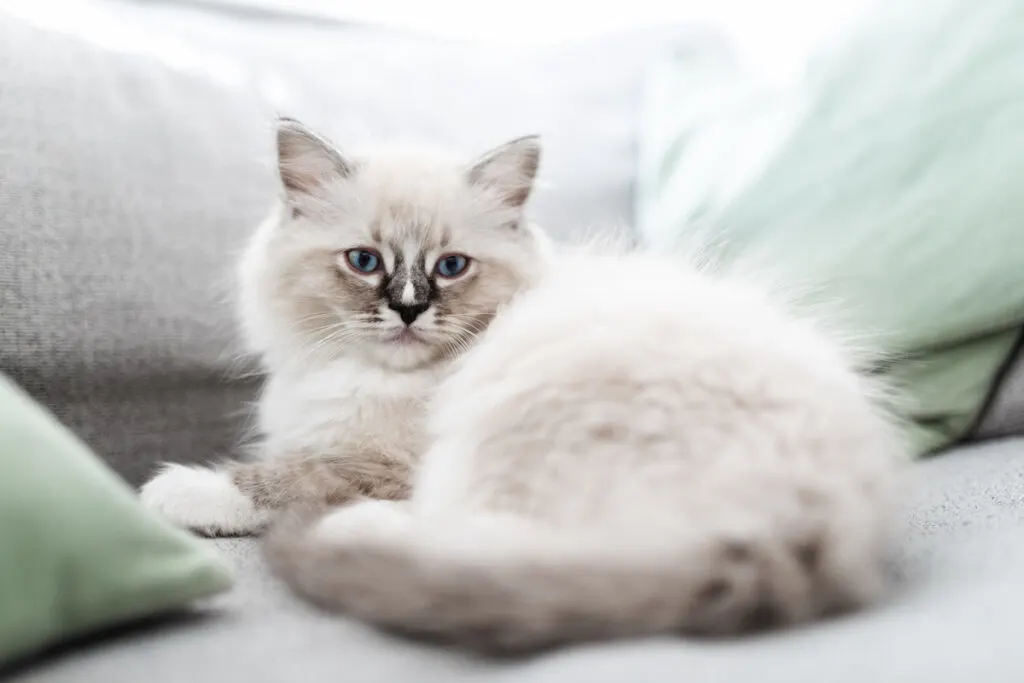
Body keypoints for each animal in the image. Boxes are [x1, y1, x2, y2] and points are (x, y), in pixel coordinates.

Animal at [142, 117, 552, 536]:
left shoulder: (397, 468)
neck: (376, 384)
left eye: (451, 266)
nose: (408, 308)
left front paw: (181, 490)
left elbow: (307, 473)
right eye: (364, 261)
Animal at [264, 242, 905, 655]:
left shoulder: (393, 461)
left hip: (507, 432)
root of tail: (804, 532)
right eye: (364, 262)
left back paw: (348, 531)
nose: (406, 309)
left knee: (476, 549)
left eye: (446, 270)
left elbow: (306, 476)